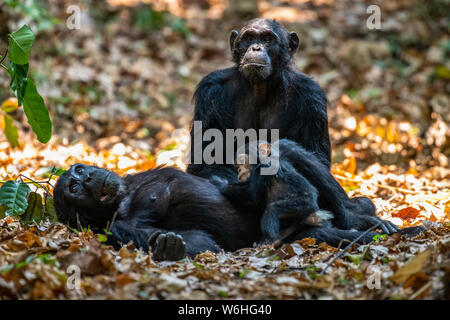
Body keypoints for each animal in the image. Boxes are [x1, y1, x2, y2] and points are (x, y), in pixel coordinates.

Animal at [54, 162, 424, 260]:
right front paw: (168, 247)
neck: (124, 198)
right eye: (74, 190)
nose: (86, 177)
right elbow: (203, 242)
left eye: (79, 171)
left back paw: (368, 216)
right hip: (300, 234)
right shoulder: (118, 228)